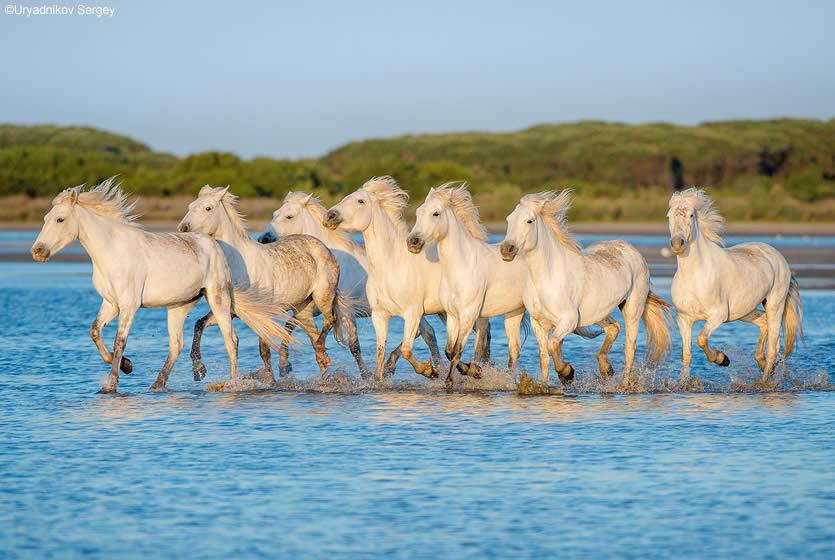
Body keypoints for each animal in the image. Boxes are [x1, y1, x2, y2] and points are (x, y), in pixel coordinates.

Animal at [31, 177, 294, 392]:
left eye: (60, 219)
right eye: (44, 219)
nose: (37, 252)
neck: (111, 251)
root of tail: (215, 245)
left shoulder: (129, 305)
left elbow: (119, 341)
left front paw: (112, 383)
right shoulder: (111, 303)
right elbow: (95, 332)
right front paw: (127, 366)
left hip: (218, 298)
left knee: (231, 340)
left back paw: (231, 384)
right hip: (179, 305)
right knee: (176, 345)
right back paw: (159, 384)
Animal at [324, 178, 486, 380]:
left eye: (360, 201)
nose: (329, 216)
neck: (391, 265)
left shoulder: (412, 313)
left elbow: (407, 349)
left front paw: (429, 370)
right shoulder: (380, 315)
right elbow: (380, 353)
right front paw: (379, 379)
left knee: (481, 338)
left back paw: (477, 369)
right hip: (446, 312)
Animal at [502, 190, 672, 382]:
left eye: (529, 221)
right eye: (509, 219)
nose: (506, 250)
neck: (546, 277)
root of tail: (631, 249)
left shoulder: (568, 320)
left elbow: (552, 345)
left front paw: (567, 373)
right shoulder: (539, 323)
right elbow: (544, 357)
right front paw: (547, 384)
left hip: (632, 309)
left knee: (630, 348)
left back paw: (624, 384)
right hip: (598, 311)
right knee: (613, 328)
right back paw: (606, 369)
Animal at [668, 186, 804, 382]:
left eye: (691, 215)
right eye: (668, 216)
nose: (677, 244)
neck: (694, 276)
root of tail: (777, 256)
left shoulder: (717, 316)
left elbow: (701, 339)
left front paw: (722, 359)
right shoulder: (684, 319)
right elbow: (686, 356)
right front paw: (684, 384)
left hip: (775, 304)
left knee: (772, 346)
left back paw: (764, 381)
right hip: (744, 311)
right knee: (764, 323)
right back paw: (761, 363)